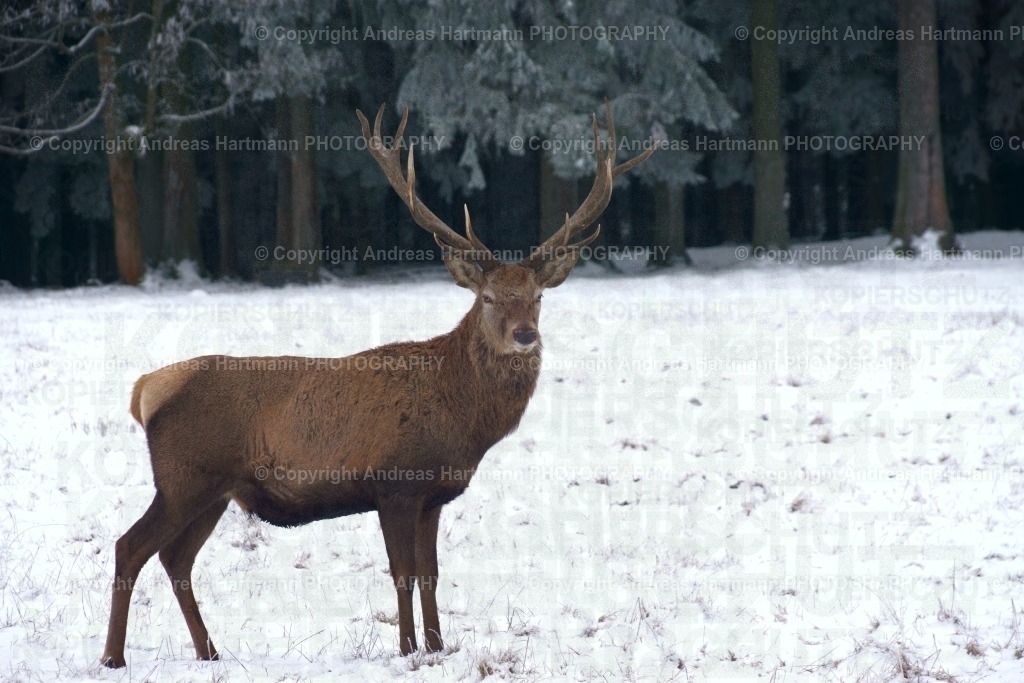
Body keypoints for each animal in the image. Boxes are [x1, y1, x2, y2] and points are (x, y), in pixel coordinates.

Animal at [100, 102, 653, 668]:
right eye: (489, 298)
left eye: (538, 296)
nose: (525, 335)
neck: (462, 420)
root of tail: (144, 390)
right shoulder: (394, 483)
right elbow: (402, 573)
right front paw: (408, 649)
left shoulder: (434, 494)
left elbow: (432, 574)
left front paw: (438, 646)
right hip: (183, 476)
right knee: (130, 546)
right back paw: (114, 657)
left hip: (213, 490)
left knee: (176, 559)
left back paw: (210, 653)